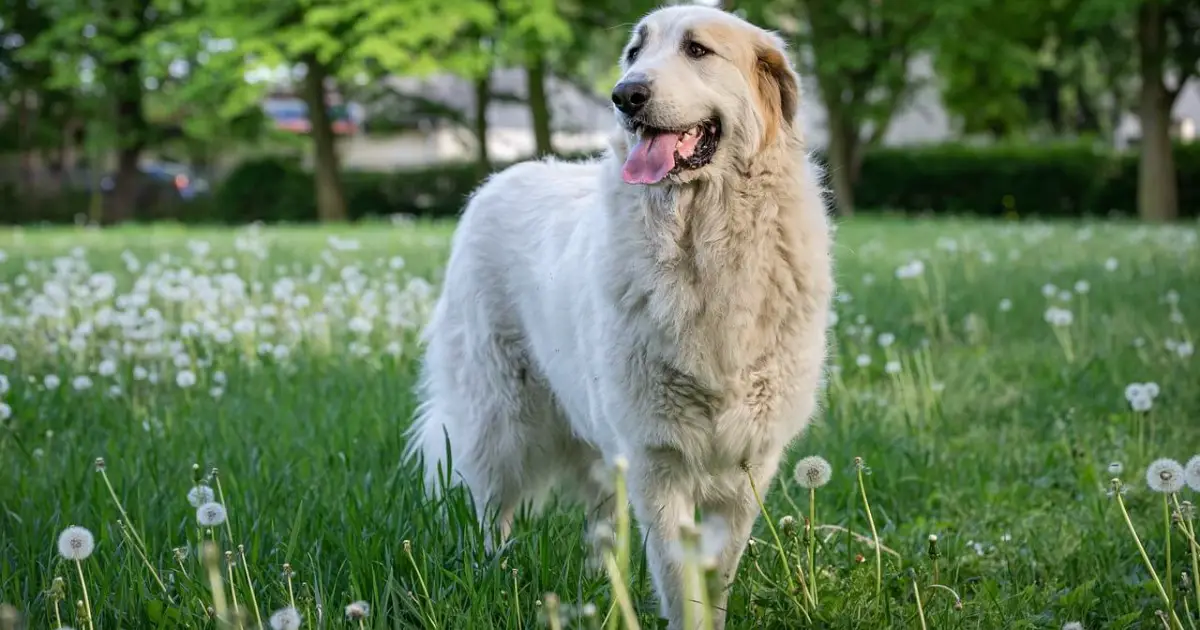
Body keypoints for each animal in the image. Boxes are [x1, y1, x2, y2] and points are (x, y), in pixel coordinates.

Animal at [403, 6, 835, 628]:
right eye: (635, 52)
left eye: (697, 50)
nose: (626, 95)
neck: (703, 241)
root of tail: (500, 178)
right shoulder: (658, 460)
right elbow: (681, 579)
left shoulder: (746, 466)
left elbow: (717, 575)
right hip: (499, 418)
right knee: (490, 508)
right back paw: (494, 576)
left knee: (599, 516)